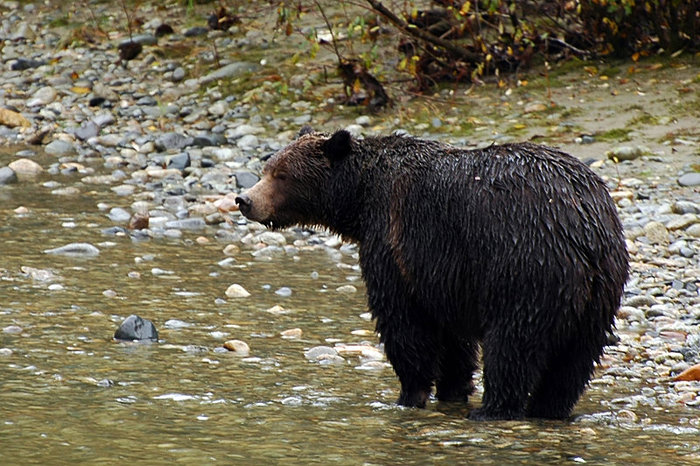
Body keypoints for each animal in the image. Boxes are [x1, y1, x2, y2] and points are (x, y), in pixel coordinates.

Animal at [237, 128, 628, 422]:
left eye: (283, 175)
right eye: (267, 167)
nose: (244, 200)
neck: (361, 199)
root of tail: (585, 230)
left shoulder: (397, 243)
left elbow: (404, 323)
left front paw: (410, 393)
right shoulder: (448, 273)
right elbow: (454, 337)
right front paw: (453, 388)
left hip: (527, 269)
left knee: (513, 346)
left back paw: (492, 410)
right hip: (598, 295)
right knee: (573, 363)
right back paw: (549, 409)